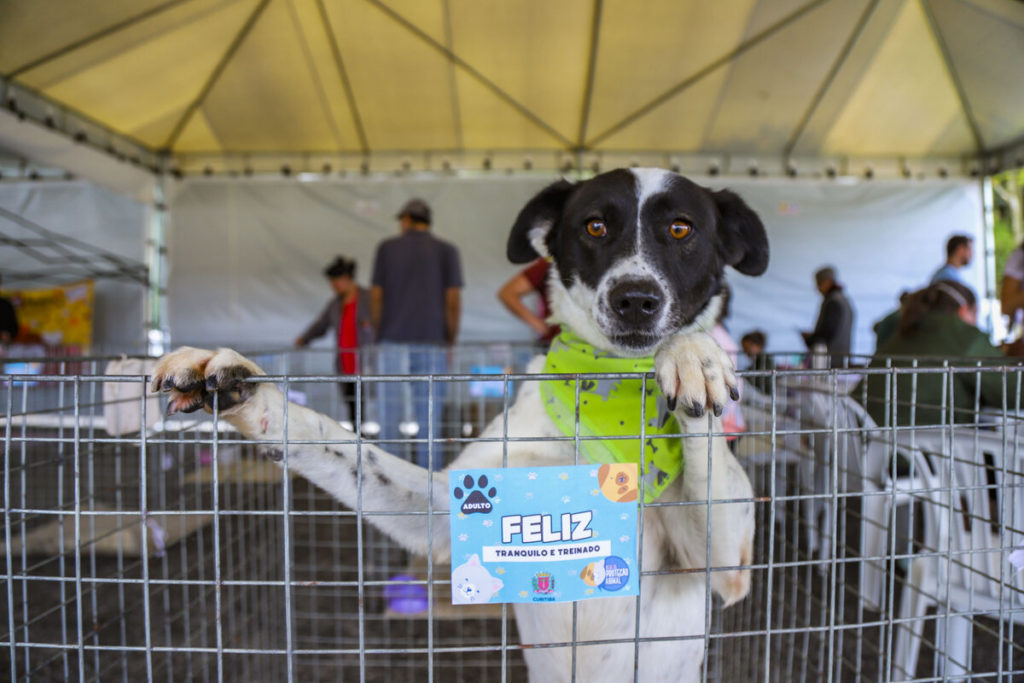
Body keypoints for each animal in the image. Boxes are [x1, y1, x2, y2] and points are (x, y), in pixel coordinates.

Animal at [153, 166, 770, 683]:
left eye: (681, 228)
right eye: (595, 225)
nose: (635, 299)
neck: (610, 390)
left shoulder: (725, 568)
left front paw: (693, 355)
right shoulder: (449, 511)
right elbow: (341, 446)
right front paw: (249, 394)